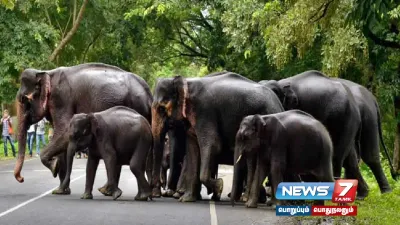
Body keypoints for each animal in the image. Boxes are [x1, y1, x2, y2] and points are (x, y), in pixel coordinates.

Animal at [13, 62, 152, 195]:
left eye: (23, 99)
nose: (21, 179)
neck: (46, 72)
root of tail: (148, 93)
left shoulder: (61, 99)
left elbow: (63, 131)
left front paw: (54, 167)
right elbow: (61, 136)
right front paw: (60, 191)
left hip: (135, 106)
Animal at [151, 72, 284, 202]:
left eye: (161, 108)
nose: (156, 194)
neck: (187, 82)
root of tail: (279, 104)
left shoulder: (205, 112)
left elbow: (213, 145)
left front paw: (219, 186)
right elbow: (193, 149)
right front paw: (186, 199)